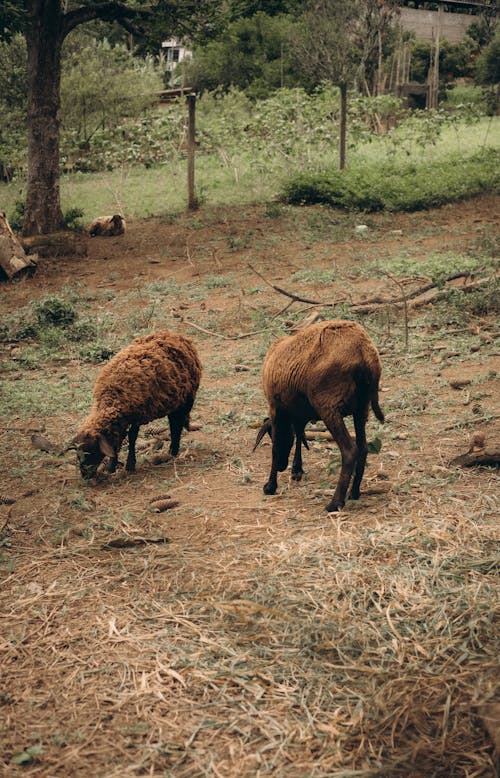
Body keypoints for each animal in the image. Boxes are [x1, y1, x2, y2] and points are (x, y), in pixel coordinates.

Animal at [72, 328, 201, 476]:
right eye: (78, 454)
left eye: (92, 451)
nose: (85, 475)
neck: (112, 397)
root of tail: (177, 335)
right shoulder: (120, 421)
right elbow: (116, 441)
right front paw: (111, 467)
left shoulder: (138, 415)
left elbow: (132, 437)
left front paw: (130, 465)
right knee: (175, 422)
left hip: (187, 398)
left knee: (177, 424)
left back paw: (173, 451)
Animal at [256, 318, 384, 512]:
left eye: (270, 434)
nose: (282, 466)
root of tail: (364, 351)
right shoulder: (298, 415)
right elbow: (300, 435)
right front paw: (297, 470)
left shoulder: (276, 408)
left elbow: (276, 447)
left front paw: (270, 486)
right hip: (362, 408)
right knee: (363, 448)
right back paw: (354, 493)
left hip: (329, 406)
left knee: (350, 451)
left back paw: (335, 502)